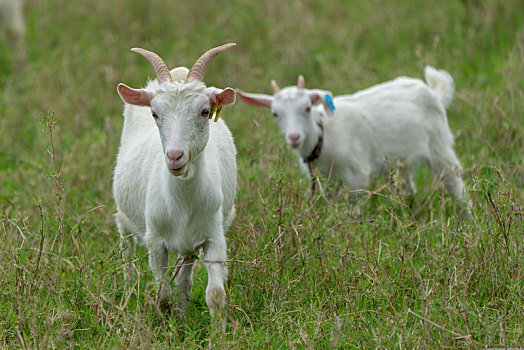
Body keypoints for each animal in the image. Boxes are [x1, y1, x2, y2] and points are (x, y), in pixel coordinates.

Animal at [114, 43, 237, 314]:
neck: (182, 200)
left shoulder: (213, 235)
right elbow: (162, 294)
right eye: (154, 113)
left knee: (184, 276)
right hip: (124, 218)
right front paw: (166, 321)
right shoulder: (155, 242)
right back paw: (127, 292)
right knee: (127, 251)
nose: (174, 156)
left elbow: (215, 295)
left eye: (205, 111)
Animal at [236, 66, 466, 205]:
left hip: (439, 144)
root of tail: (434, 92)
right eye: (275, 114)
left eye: (307, 107)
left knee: (455, 181)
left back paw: (467, 216)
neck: (324, 137)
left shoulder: (358, 175)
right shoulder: (326, 182)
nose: (294, 137)